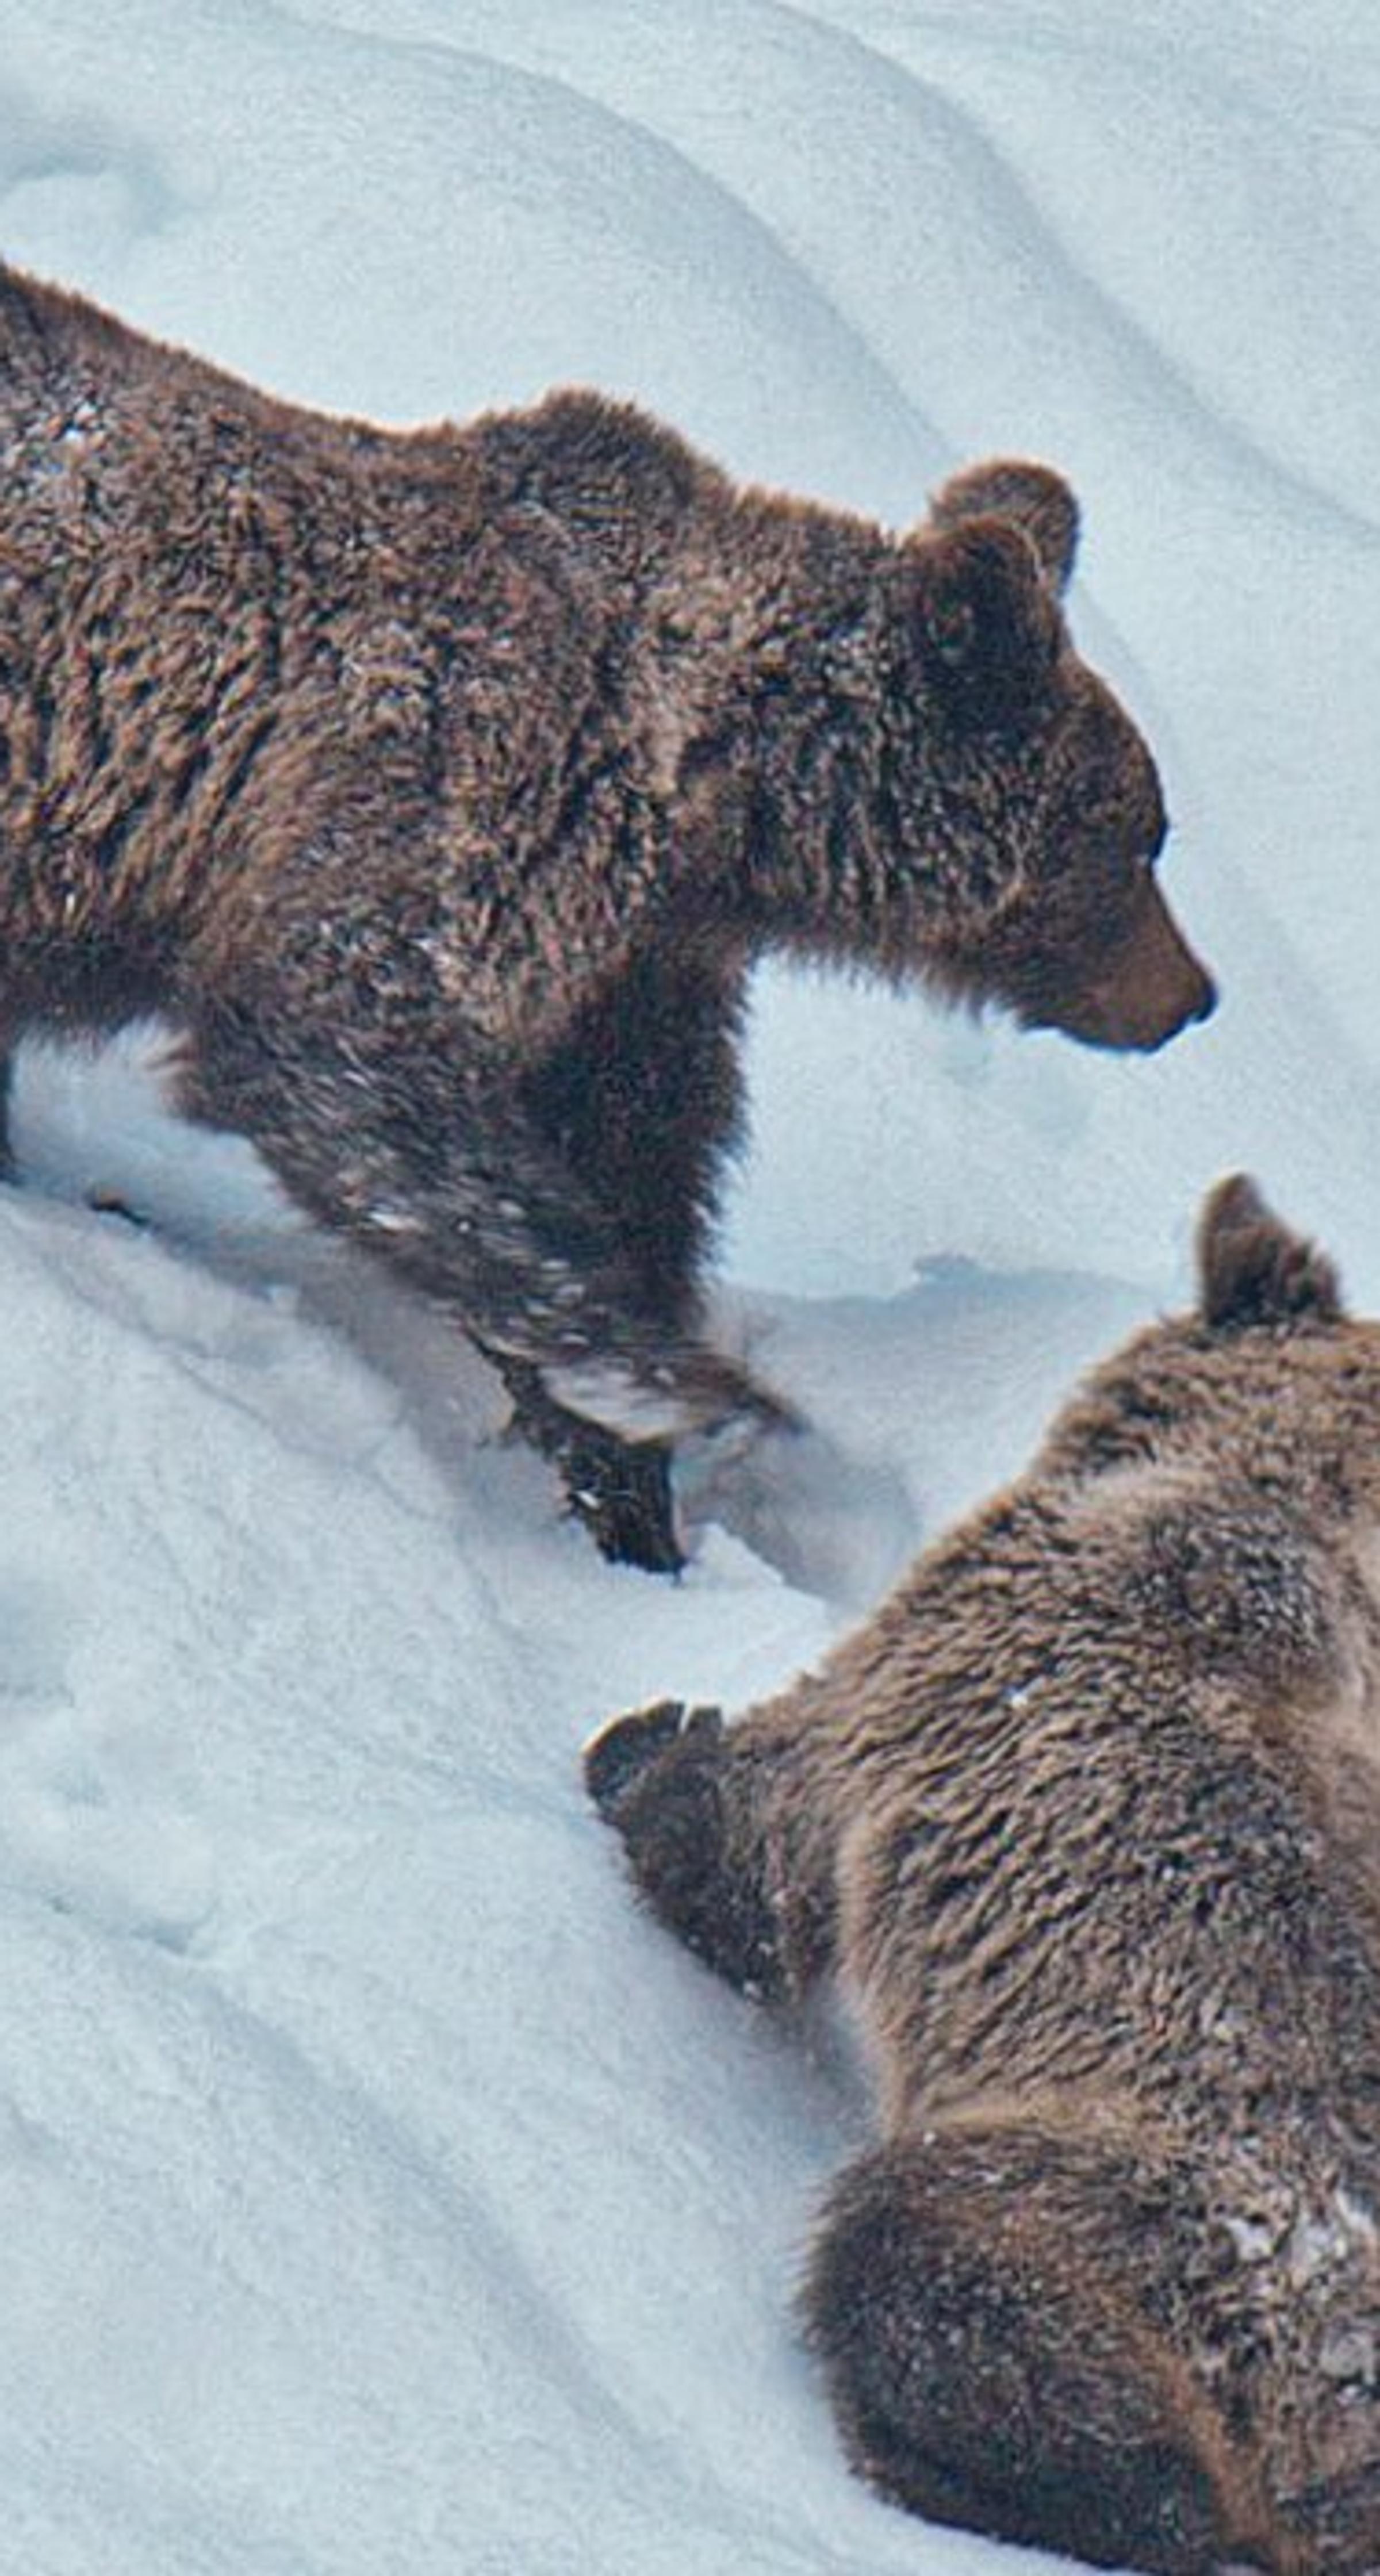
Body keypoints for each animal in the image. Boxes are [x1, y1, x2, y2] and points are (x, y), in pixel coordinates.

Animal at [0, 258, 1213, 1570]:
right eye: (1140, 840)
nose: (1193, 996)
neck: (713, 798)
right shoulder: (465, 787)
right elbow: (346, 1062)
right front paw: (676, 1383)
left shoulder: (639, 967)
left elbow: (636, 1159)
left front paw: (631, 1495)